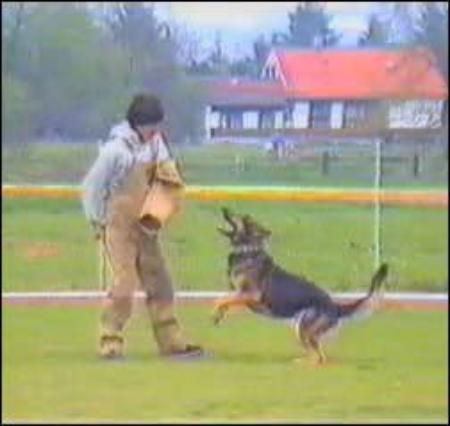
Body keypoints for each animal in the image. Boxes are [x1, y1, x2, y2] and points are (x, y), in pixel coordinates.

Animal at [213, 207, 388, 362]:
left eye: (245, 218)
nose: (224, 208)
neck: (247, 251)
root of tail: (335, 306)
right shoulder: (243, 297)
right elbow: (227, 300)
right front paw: (219, 316)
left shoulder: (251, 295)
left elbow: (221, 300)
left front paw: (215, 311)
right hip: (301, 329)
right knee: (318, 355)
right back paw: (301, 361)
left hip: (303, 329)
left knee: (320, 358)